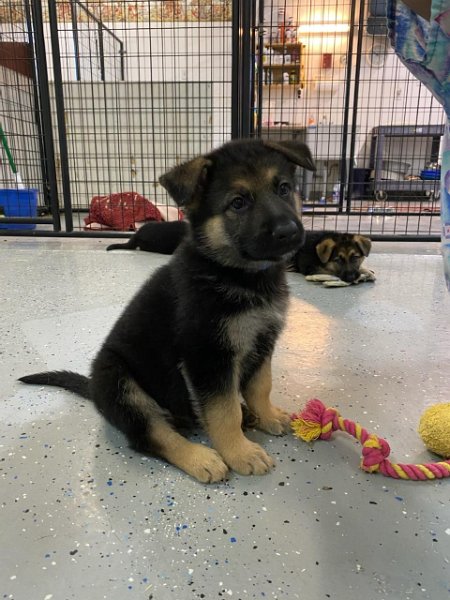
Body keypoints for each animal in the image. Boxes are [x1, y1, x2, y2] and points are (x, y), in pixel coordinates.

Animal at [19, 139, 314, 482]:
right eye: (238, 203)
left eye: (283, 188)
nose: (288, 231)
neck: (235, 273)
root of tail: (93, 387)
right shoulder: (208, 358)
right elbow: (224, 410)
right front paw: (240, 451)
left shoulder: (263, 342)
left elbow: (260, 386)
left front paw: (266, 415)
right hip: (120, 382)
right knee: (150, 435)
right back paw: (201, 458)